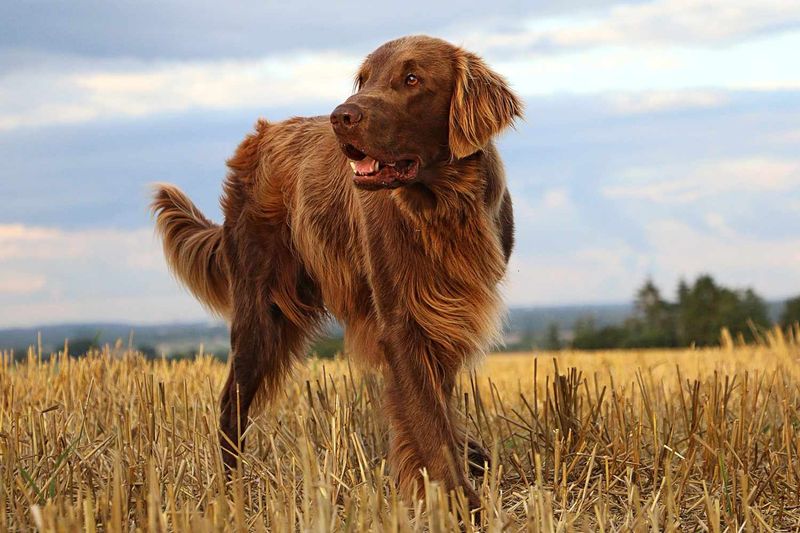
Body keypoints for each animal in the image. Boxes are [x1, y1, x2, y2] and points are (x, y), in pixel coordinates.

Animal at [152, 33, 520, 508]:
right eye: (363, 79)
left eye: (412, 78)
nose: (341, 117)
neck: (441, 208)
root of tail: (259, 135)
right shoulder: (401, 320)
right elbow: (428, 421)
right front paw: (458, 503)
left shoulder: (447, 314)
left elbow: (434, 408)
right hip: (260, 314)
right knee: (231, 406)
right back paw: (230, 489)